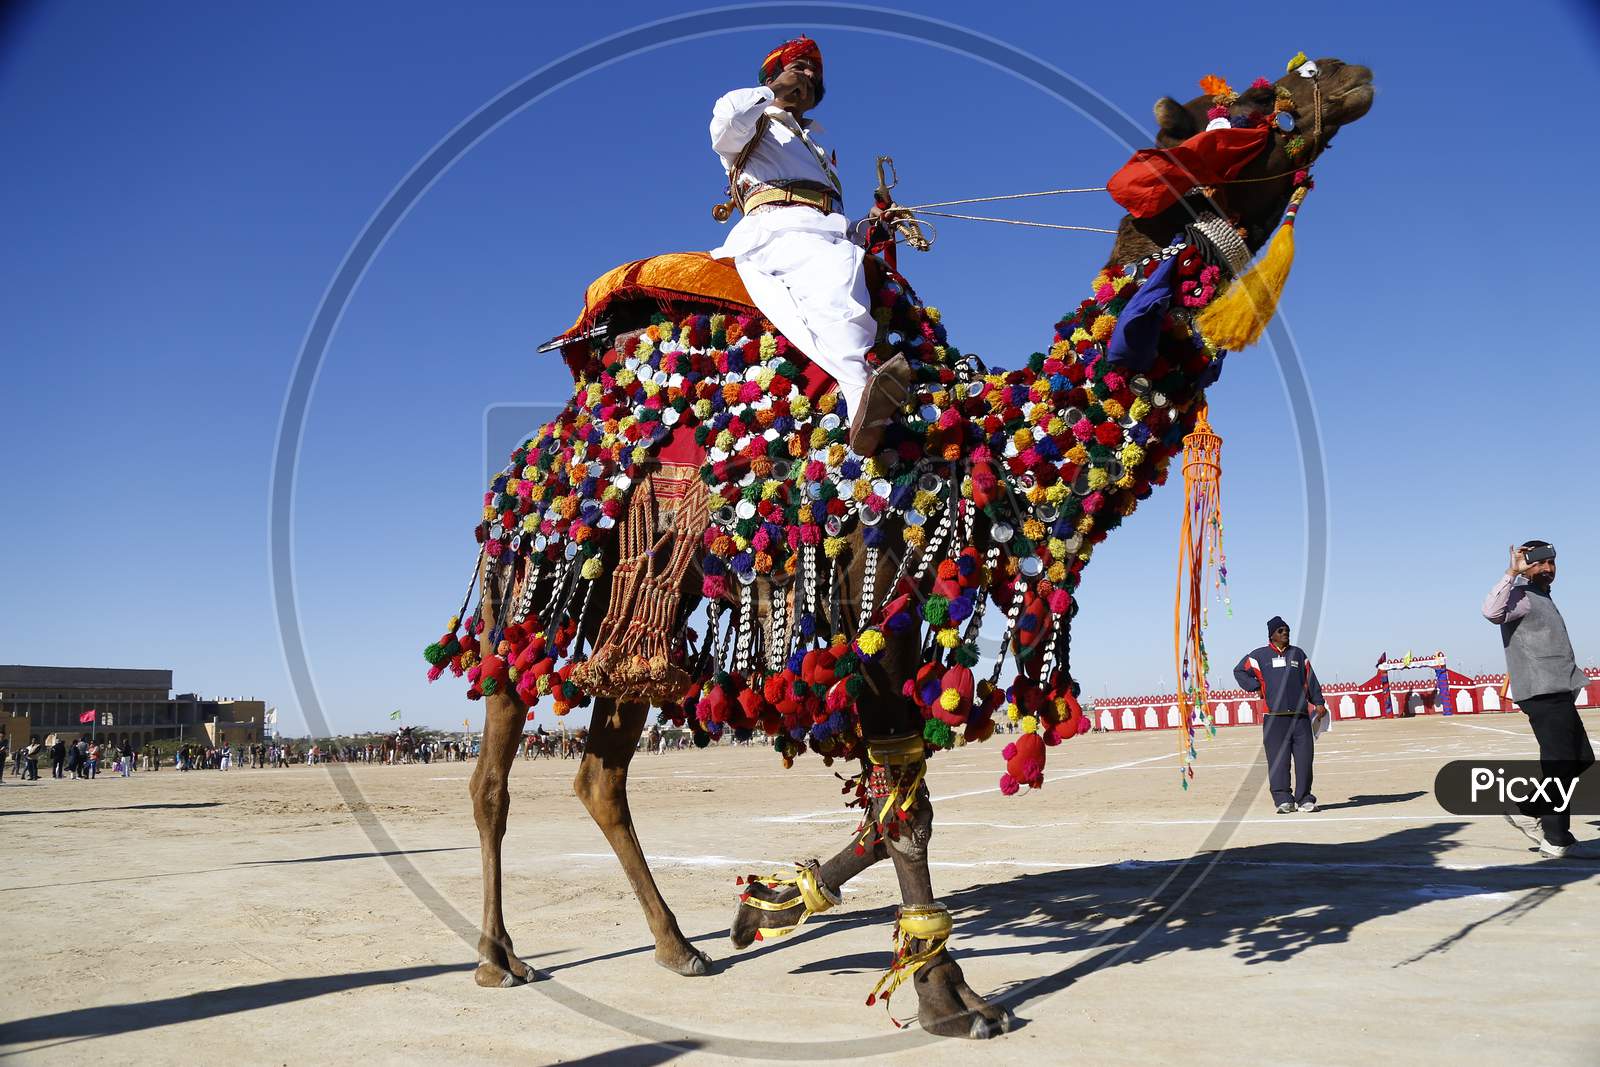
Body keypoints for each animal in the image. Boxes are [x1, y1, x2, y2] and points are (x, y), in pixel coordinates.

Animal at [428, 56, 1376, 1036]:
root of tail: (524, 461)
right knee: (494, 775)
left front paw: (771, 902)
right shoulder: (868, 613)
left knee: (601, 775)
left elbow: (892, 808)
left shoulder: (905, 625)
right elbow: (907, 814)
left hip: (646, 611)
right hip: (529, 584)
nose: (1345, 75)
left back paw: (678, 945)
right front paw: (948, 998)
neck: (987, 441)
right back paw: (497, 957)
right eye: (1250, 113)